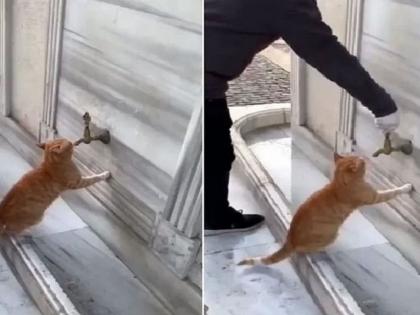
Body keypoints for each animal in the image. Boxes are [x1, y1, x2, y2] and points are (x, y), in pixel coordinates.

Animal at [238, 154, 412, 266]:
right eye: (361, 161)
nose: (365, 158)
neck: (339, 182)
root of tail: (290, 239)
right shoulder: (374, 197)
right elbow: (393, 192)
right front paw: (407, 187)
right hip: (331, 236)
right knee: (305, 250)